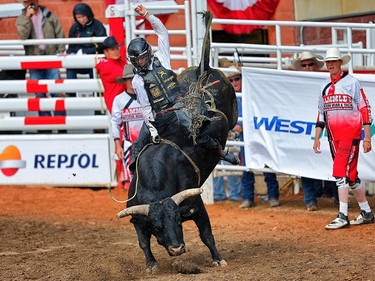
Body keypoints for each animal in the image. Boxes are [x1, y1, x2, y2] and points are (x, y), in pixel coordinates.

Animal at [115, 11, 238, 272]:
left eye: (177, 221)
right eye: (158, 226)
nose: (176, 249)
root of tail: (203, 70)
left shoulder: (196, 203)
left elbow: (206, 234)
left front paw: (218, 259)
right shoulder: (138, 220)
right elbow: (143, 241)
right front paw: (151, 264)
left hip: (229, 113)